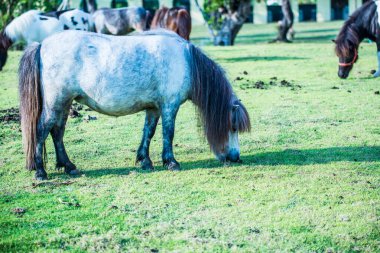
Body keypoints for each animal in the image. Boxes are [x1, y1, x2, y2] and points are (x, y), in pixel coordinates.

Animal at [17, 29, 251, 180]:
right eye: (233, 127)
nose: (236, 157)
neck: (186, 61)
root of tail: (42, 45)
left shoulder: (154, 108)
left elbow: (149, 132)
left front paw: (144, 160)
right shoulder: (169, 106)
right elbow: (168, 133)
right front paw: (171, 162)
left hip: (64, 104)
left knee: (57, 133)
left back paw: (69, 166)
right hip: (56, 103)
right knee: (42, 130)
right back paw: (40, 172)